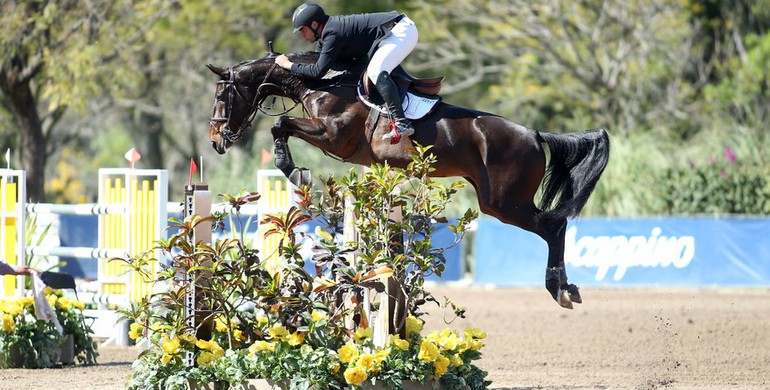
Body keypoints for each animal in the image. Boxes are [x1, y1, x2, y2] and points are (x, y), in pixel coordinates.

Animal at [204, 50, 608, 310]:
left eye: (223, 95)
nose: (216, 141)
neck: (321, 83)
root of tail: (535, 134)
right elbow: (282, 126)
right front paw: (293, 168)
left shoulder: (333, 136)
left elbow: (280, 125)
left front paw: (293, 169)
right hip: (499, 200)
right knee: (554, 226)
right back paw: (567, 288)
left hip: (505, 203)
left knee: (554, 226)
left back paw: (560, 290)